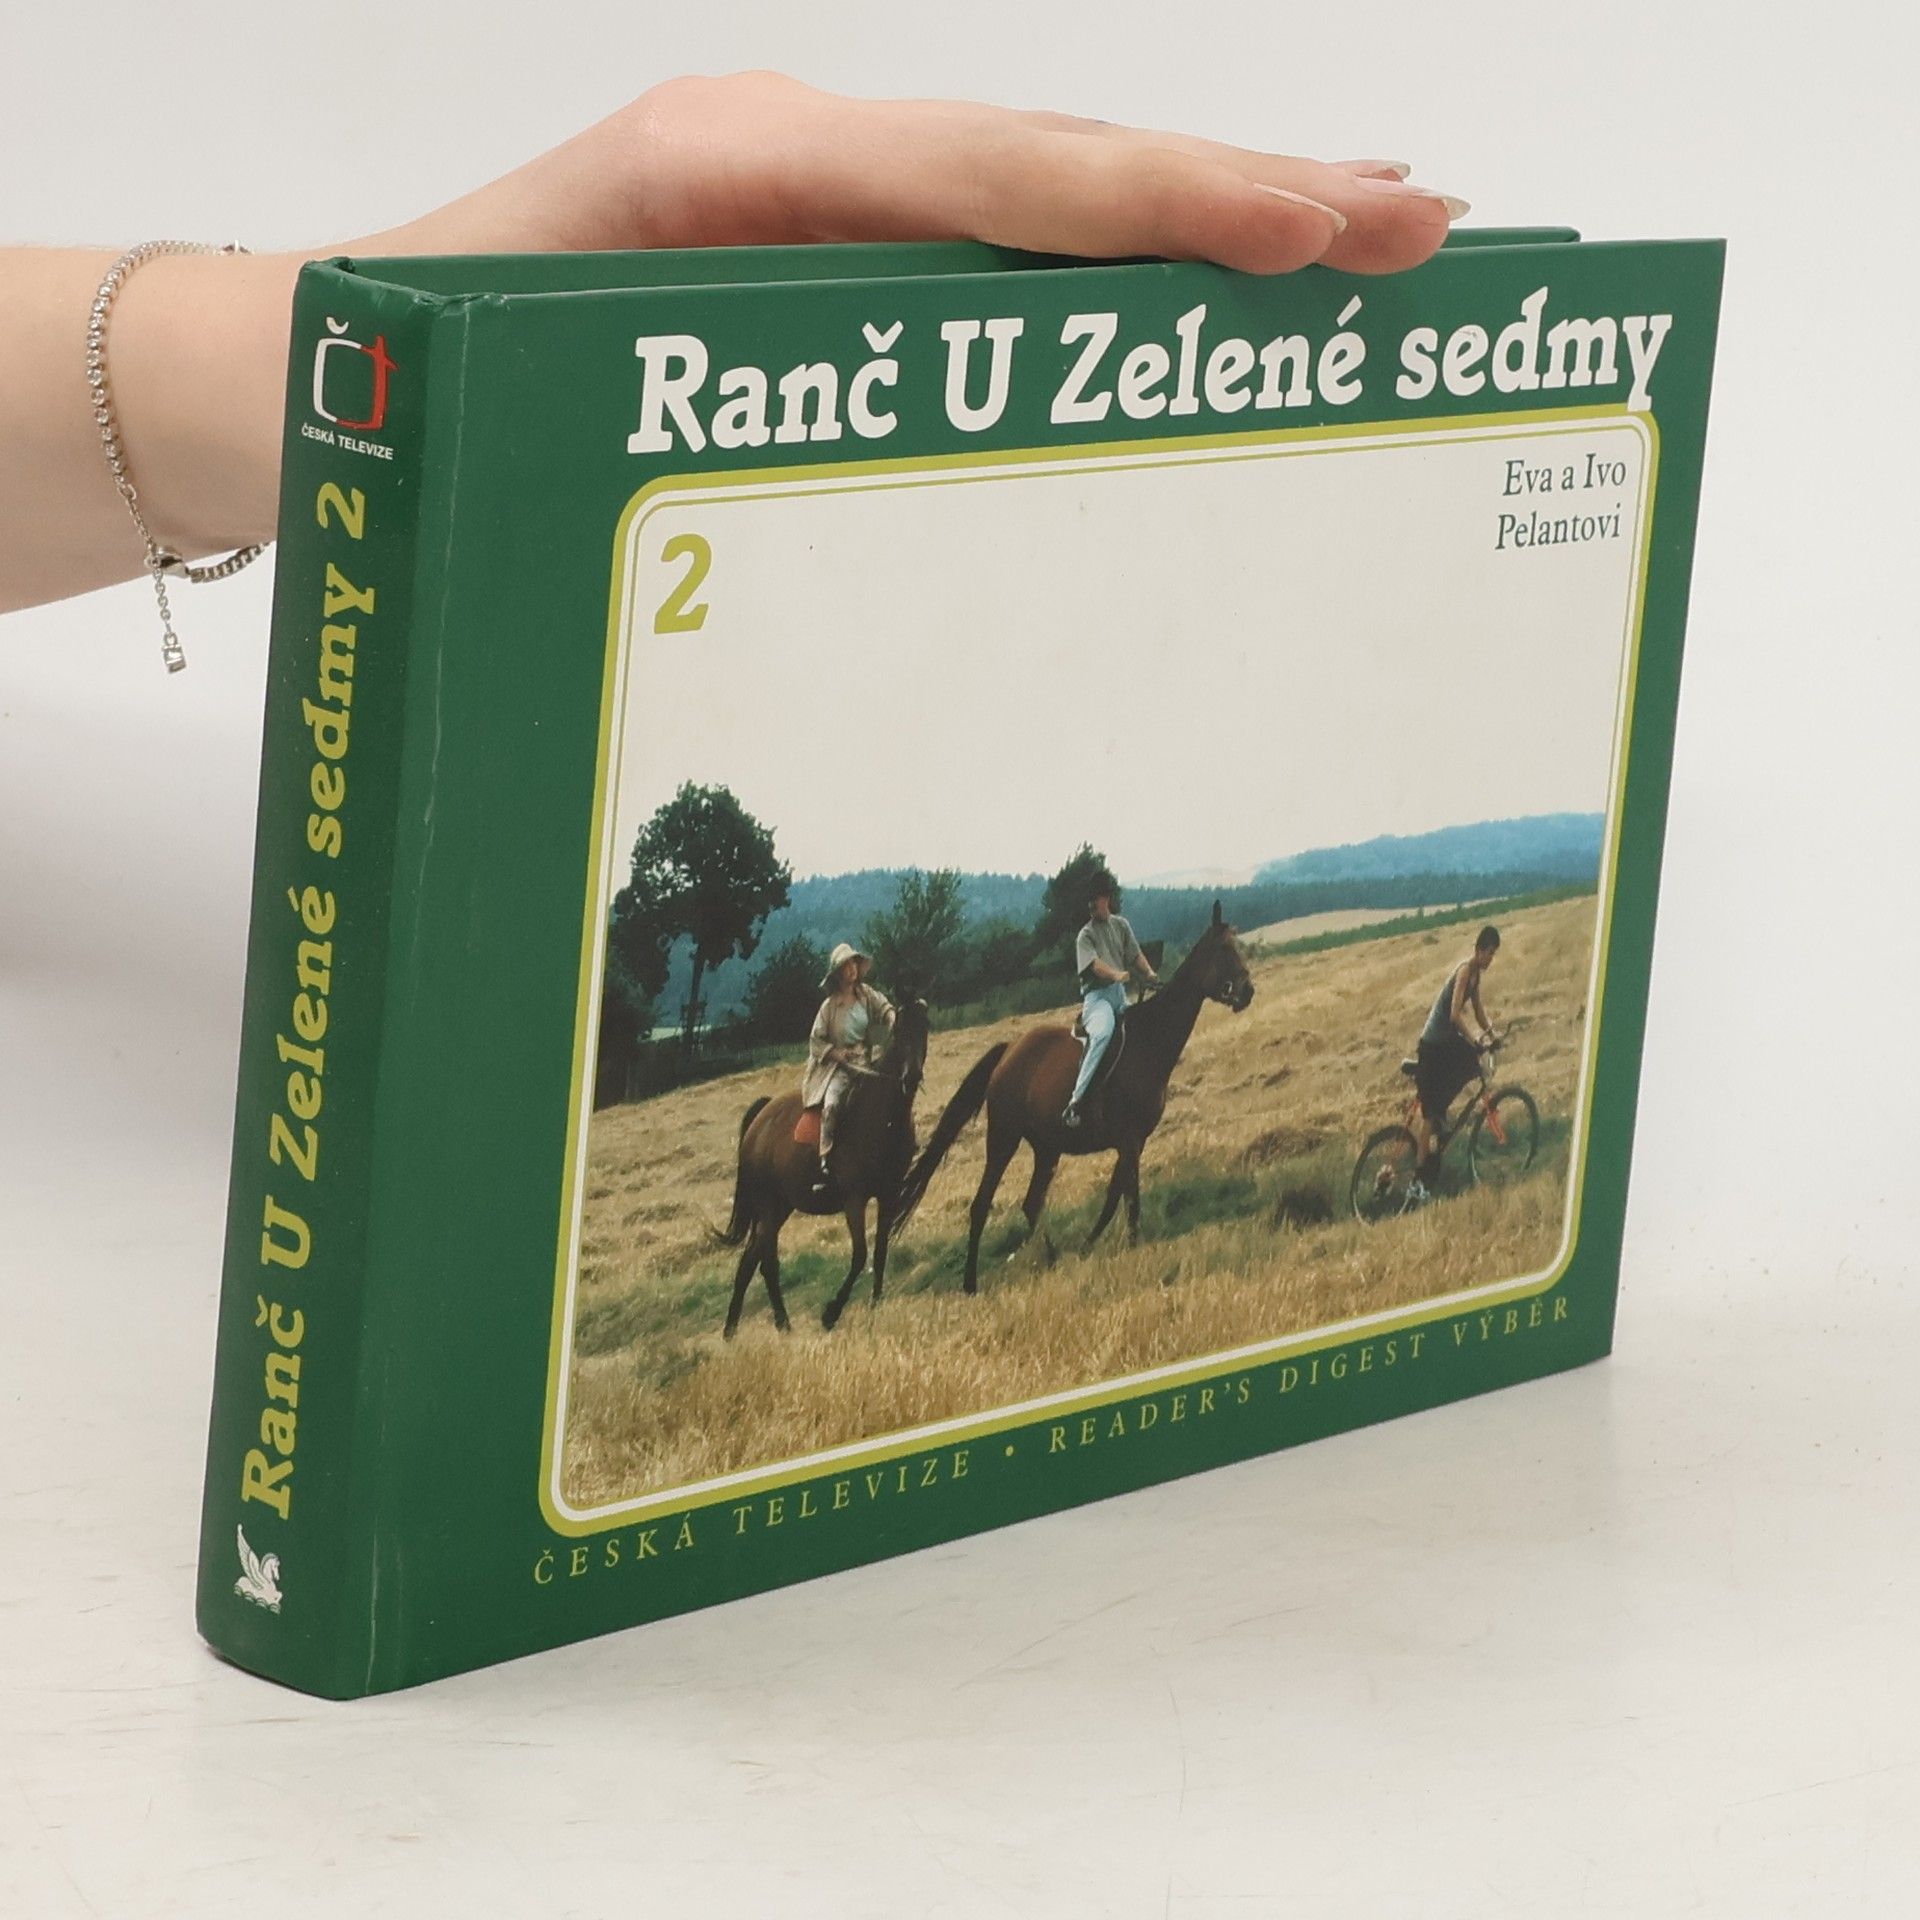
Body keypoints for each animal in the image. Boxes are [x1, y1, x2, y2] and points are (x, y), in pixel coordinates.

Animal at [714, 996, 931, 1337]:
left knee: (750, 1260)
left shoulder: (889, 1195)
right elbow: (860, 1256)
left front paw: (876, 1304)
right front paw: (831, 1313)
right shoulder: (854, 1200)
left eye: (925, 1027)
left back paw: (735, 1330)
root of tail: (759, 1120)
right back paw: (781, 1324)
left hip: (779, 1208)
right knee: (766, 1263)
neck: (881, 1116)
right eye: (899, 1030)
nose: (911, 1078)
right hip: (768, 1207)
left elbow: (880, 1250)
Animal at [895, 904, 1254, 1291]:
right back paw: (971, 1283)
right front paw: (1127, 1248)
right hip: (1003, 1139)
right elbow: (1130, 1198)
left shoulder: (1134, 1141)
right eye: (1224, 949)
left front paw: (1090, 1245)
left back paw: (1052, 1258)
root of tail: (1009, 1052)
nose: (1248, 991)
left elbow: (1115, 1196)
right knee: (981, 1204)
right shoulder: (1128, 1140)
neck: (1148, 1042)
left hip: (1047, 1149)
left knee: (1031, 1203)